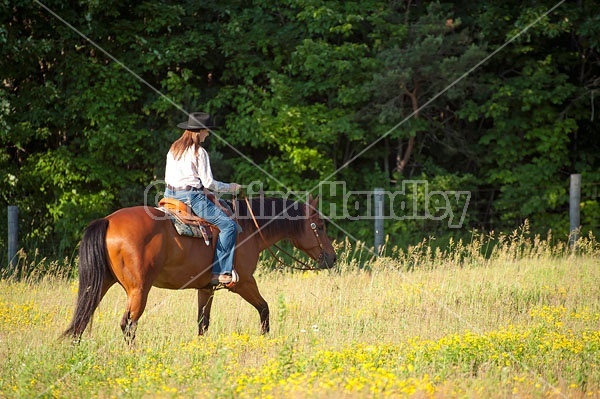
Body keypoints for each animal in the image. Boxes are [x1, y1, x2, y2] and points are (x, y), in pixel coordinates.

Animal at [63, 195, 336, 344]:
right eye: (320, 226)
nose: (332, 258)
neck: (248, 228)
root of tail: (108, 221)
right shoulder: (244, 282)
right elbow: (265, 309)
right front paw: (265, 338)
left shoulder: (206, 289)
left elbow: (202, 323)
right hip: (138, 290)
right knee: (128, 324)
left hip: (99, 284)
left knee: (81, 319)